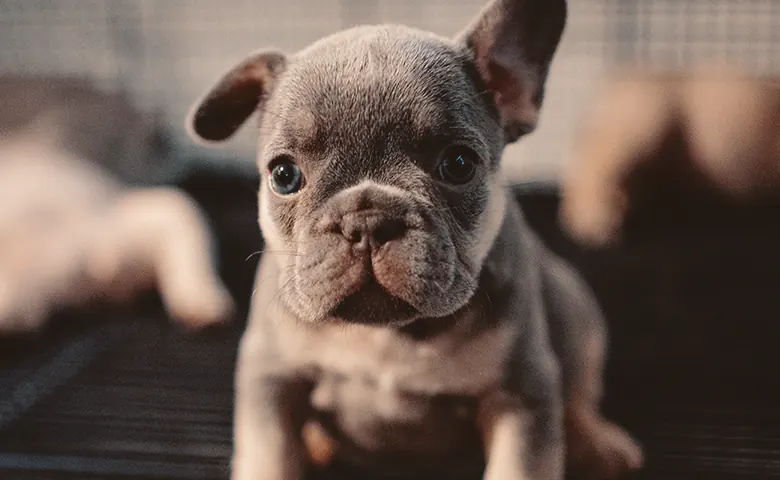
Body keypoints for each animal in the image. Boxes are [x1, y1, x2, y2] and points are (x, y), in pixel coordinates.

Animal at [187, 0, 640, 478]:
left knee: (579, 395)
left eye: (458, 164)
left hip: (576, 314)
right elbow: (269, 455)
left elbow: (521, 461)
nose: (367, 221)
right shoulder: (272, 379)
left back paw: (598, 442)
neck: (389, 334)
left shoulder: (520, 391)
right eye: (284, 175)